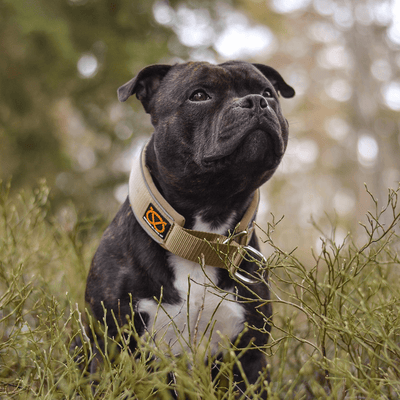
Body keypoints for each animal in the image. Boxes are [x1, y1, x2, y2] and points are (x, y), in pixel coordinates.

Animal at [85, 61, 294, 396]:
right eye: (199, 95)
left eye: (267, 92)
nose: (256, 102)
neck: (200, 238)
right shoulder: (111, 346)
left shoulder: (249, 359)